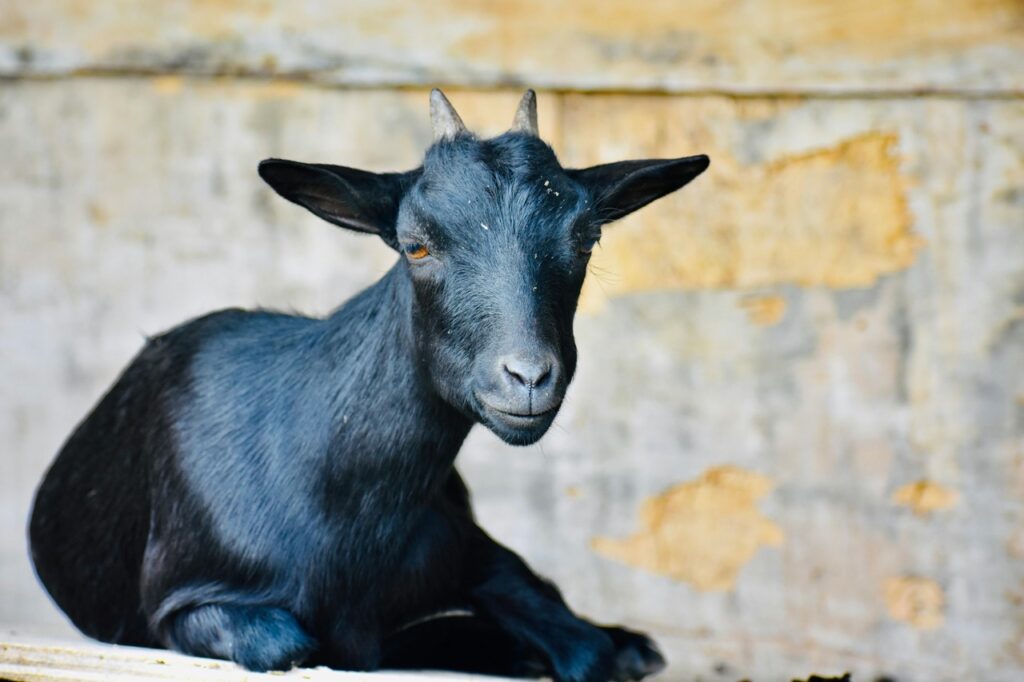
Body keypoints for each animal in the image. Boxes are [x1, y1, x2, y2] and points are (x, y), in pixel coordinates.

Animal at [29, 90, 709, 682]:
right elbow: (287, 643)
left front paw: (599, 646)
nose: (529, 377)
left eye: (587, 238)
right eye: (416, 245)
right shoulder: (179, 599)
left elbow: (571, 634)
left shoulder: (462, 546)